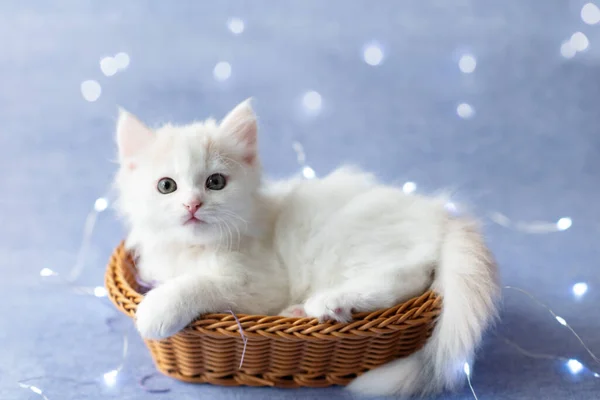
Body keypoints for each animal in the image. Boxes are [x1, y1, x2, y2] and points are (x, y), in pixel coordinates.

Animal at [112, 99, 496, 396]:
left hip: (346, 243)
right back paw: (304, 311)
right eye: (166, 186)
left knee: (406, 277)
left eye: (215, 182)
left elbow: (199, 283)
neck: (192, 249)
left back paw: (329, 302)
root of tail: (440, 213)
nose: (192, 205)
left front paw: (157, 309)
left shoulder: (260, 284)